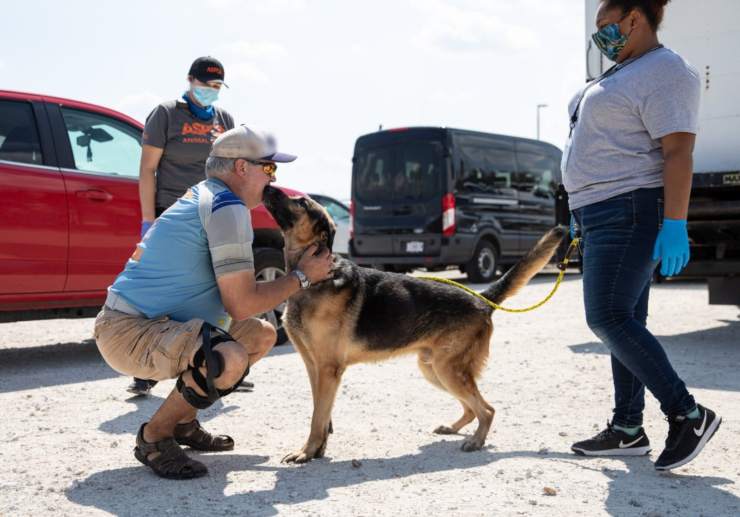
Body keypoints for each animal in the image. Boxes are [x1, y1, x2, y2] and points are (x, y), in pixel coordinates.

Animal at [262, 186, 568, 464]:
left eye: (302, 202)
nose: (267, 186)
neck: (315, 278)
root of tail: (482, 298)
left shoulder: (327, 370)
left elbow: (318, 418)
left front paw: (307, 452)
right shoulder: (315, 369)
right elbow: (322, 415)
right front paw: (317, 451)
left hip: (447, 369)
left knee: (488, 410)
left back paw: (476, 441)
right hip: (433, 369)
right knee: (473, 408)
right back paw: (453, 428)